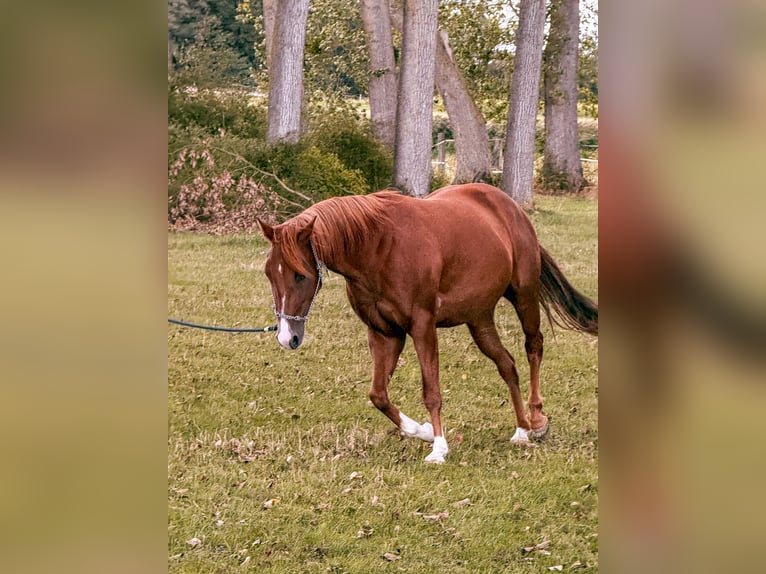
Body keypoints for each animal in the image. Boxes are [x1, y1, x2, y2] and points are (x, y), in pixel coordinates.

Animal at [257, 183, 597, 464]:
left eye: (300, 275)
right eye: (269, 273)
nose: (287, 337)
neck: (378, 247)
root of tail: (510, 207)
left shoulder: (422, 327)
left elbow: (431, 392)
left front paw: (439, 448)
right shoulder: (384, 333)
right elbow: (378, 395)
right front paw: (420, 431)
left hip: (524, 296)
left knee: (533, 348)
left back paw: (537, 421)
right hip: (480, 320)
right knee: (508, 366)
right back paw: (521, 430)